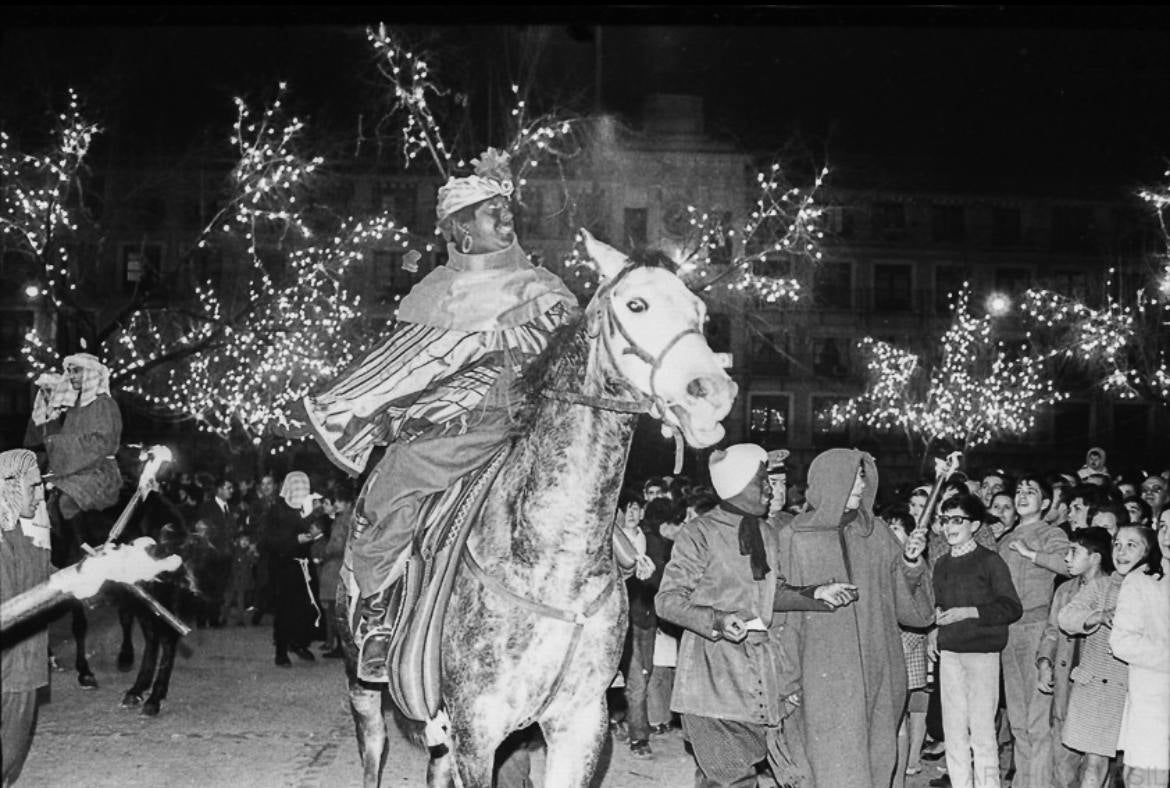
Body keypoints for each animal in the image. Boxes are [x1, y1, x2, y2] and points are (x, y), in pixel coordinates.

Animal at [339, 233, 734, 785]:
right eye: (637, 304)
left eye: (700, 312)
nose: (712, 393)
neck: (554, 557)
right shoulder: (476, 730)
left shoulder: (580, 722)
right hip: (362, 685)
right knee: (373, 747)